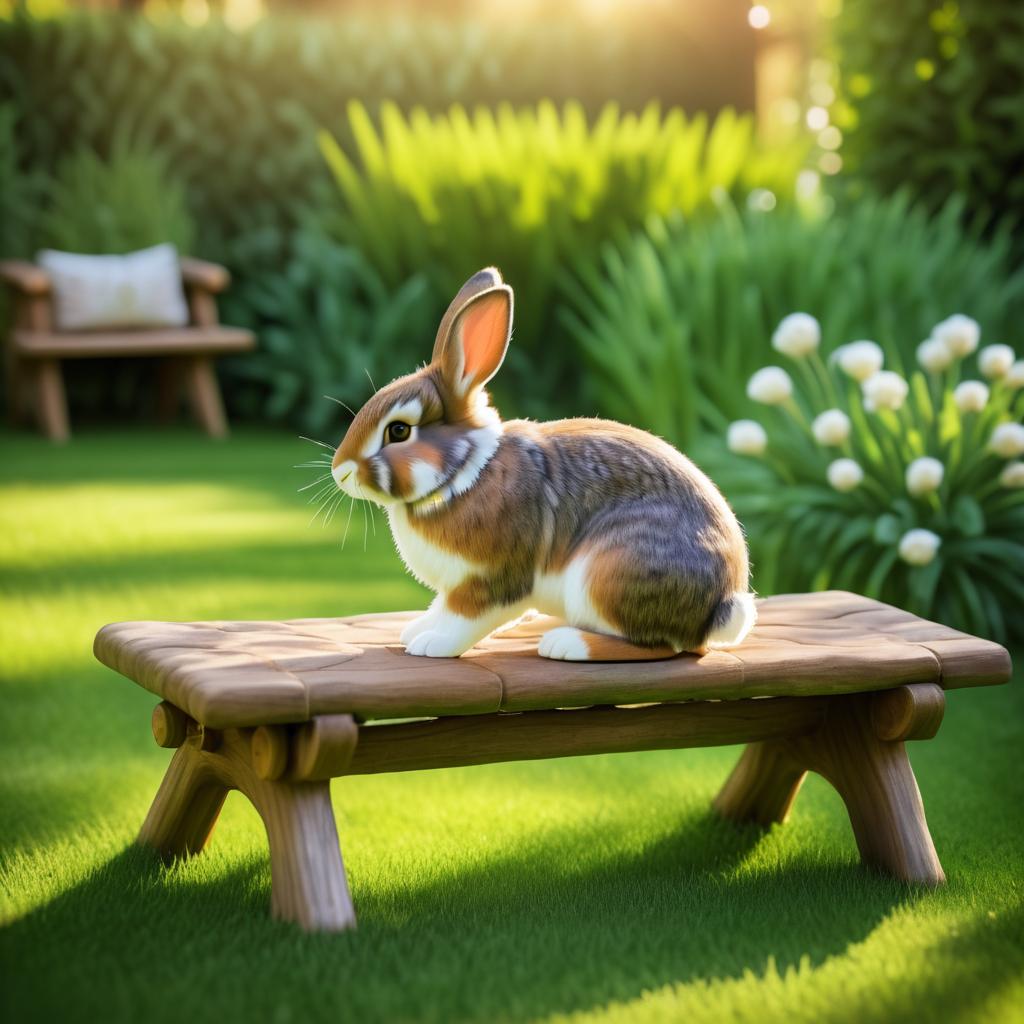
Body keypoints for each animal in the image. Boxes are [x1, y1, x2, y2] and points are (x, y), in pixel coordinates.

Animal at [331, 268, 757, 659]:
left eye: (399, 430)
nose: (341, 471)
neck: (462, 473)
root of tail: (719, 608)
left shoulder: (491, 581)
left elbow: (465, 618)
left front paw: (432, 644)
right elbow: (442, 608)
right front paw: (416, 630)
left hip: (609, 571)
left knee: (658, 646)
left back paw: (566, 644)